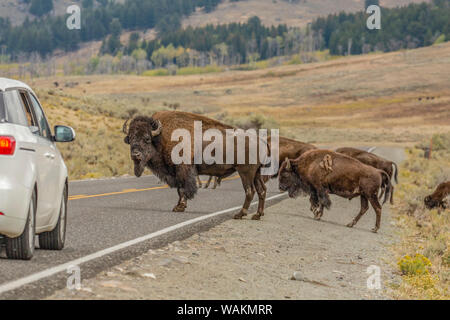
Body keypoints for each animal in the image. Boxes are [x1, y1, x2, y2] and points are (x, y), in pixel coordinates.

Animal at [122, 110, 270, 220]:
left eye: (147, 138)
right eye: (130, 138)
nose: (135, 154)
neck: (160, 137)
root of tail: (261, 141)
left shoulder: (182, 170)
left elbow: (183, 189)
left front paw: (179, 207)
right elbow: (179, 189)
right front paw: (178, 206)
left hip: (245, 172)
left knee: (250, 191)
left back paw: (239, 214)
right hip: (257, 173)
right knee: (261, 190)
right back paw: (257, 215)